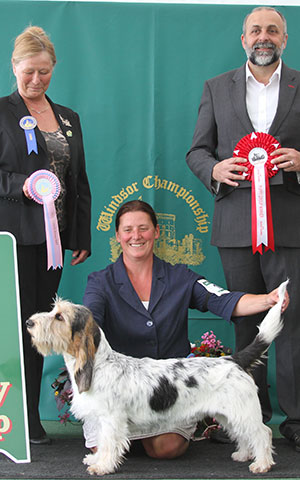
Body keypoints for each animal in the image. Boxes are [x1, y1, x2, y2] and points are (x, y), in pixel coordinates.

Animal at [26, 280, 288, 474]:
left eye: (59, 317)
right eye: (54, 311)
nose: (28, 322)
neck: (100, 365)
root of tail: (233, 360)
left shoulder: (111, 419)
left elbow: (109, 443)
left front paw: (102, 466)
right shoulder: (100, 420)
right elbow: (101, 442)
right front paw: (96, 459)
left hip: (242, 411)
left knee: (262, 433)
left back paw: (262, 464)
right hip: (228, 414)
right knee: (244, 435)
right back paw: (243, 454)